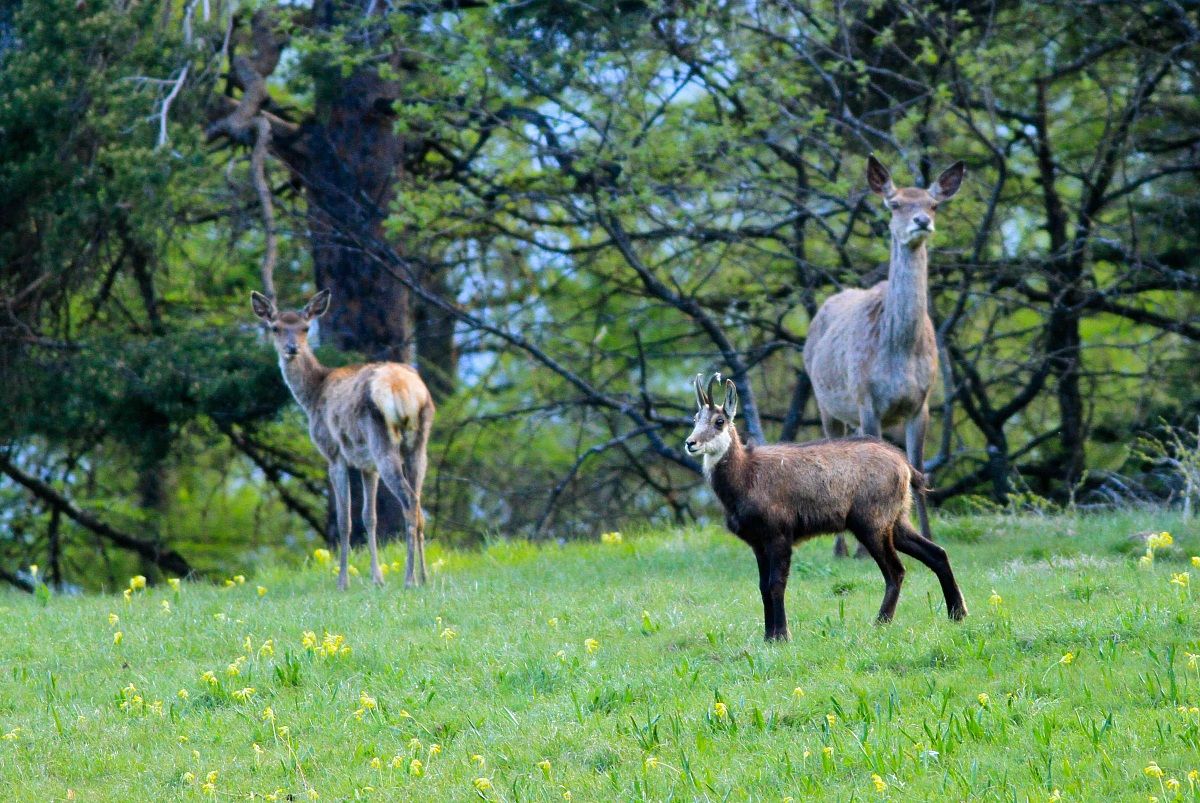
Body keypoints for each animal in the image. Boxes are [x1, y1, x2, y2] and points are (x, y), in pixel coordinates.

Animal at [251, 289, 434, 590]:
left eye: (306, 328)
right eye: (275, 327)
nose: (292, 348)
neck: (312, 395)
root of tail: (404, 389)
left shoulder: (333, 453)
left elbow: (344, 519)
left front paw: (343, 581)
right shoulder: (366, 464)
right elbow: (369, 518)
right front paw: (377, 578)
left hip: (381, 439)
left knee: (409, 502)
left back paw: (409, 579)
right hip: (418, 443)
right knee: (419, 506)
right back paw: (424, 576)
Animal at [686, 373, 967, 640]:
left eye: (719, 421)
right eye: (695, 418)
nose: (691, 443)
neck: (745, 475)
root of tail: (904, 463)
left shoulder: (779, 536)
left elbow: (776, 584)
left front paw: (782, 635)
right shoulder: (758, 542)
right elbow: (763, 586)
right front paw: (768, 636)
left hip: (871, 525)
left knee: (896, 571)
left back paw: (881, 622)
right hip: (896, 521)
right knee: (936, 553)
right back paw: (957, 613)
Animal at [803, 155, 965, 558]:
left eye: (933, 204)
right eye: (894, 204)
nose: (921, 221)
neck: (899, 354)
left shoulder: (922, 402)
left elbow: (919, 468)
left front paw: (929, 534)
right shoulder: (867, 399)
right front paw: (864, 550)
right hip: (826, 402)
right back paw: (841, 549)